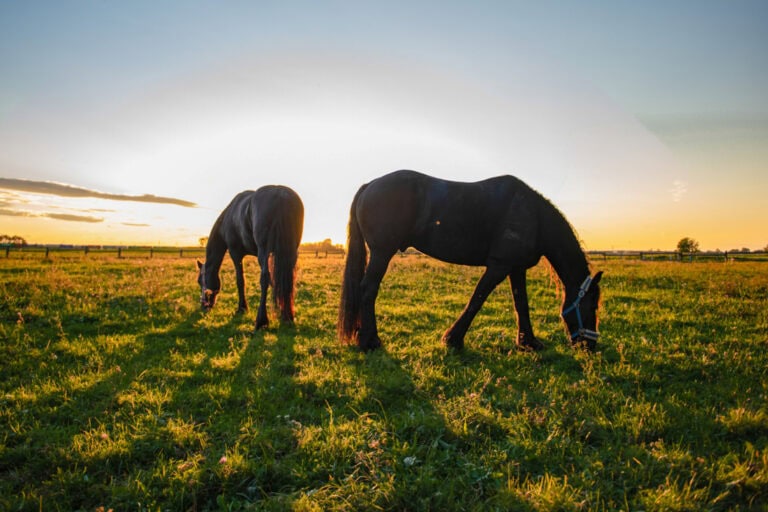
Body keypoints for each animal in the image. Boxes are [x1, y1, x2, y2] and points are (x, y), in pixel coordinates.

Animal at [197, 186, 304, 330]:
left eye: (199, 281)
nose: (204, 305)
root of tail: (281, 194)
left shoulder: (235, 253)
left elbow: (240, 281)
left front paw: (242, 308)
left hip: (264, 251)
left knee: (265, 279)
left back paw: (261, 321)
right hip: (290, 252)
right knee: (288, 280)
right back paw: (288, 317)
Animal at [338, 170, 602, 352]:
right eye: (591, 305)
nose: (589, 345)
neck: (534, 216)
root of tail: (370, 185)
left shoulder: (516, 268)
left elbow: (521, 304)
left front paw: (528, 342)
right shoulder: (499, 266)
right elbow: (477, 298)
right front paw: (452, 339)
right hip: (382, 253)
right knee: (368, 289)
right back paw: (370, 341)